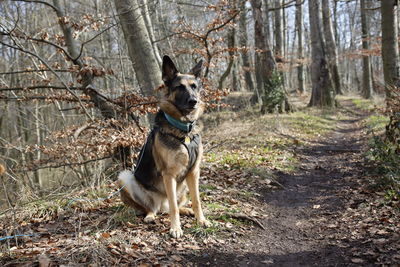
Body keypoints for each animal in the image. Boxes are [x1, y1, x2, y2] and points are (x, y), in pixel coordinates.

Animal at [119, 55, 211, 239]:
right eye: (179, 87)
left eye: (194, 86)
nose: (193, 101)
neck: (184, 130)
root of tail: (160, 205)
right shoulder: (169, 175)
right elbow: (174, 207)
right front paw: (176, 228)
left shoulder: (194, 172)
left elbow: (197, 200)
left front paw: (201, 220)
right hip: (125, 178)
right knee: (154, 208)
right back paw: (150, 216)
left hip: (183, 187)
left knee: (173, 206)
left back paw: (187, 210)